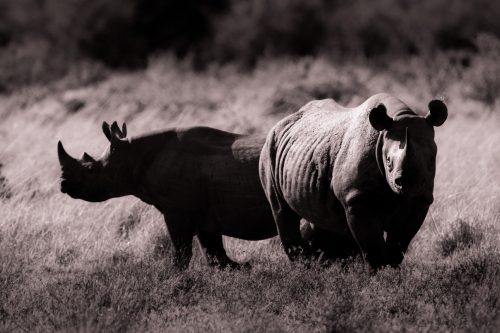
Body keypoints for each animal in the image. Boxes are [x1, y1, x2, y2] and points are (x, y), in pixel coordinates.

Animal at [260, 92, 448, 268]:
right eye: (388, 161)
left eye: (432, 159)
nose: (410, 186)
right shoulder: (356, 199)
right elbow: (373, 250)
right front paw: (380, 276)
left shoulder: (421, 200)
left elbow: (398, 247)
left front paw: (391, 272)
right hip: (269, 147)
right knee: (282, 211)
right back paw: (302, 267)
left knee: (321, 218)